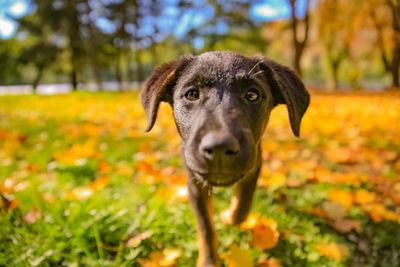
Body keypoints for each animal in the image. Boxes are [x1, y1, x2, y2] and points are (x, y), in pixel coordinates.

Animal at [141, 51, 310, 267]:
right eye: (192, 94)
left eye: (252, 95)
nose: (219, 147)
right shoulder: (194, 180)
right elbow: (206, 227)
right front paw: (208, 261)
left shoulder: (254, 163)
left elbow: (242, 206)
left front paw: (229, 217)